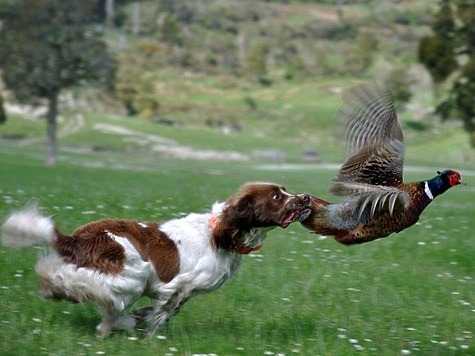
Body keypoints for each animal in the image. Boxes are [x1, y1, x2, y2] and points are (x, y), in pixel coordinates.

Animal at [0, 184, 312, 336]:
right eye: (276, 196)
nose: (307, 198)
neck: (222, 233)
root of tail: (77, 238)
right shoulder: (179, 285)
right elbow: (163, 313)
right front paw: (145, 332)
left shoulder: (183, 290)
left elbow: (162, 312)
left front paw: (139, 324)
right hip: (132, 275)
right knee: (91, 291)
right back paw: (106, 323)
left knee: (57, 275)